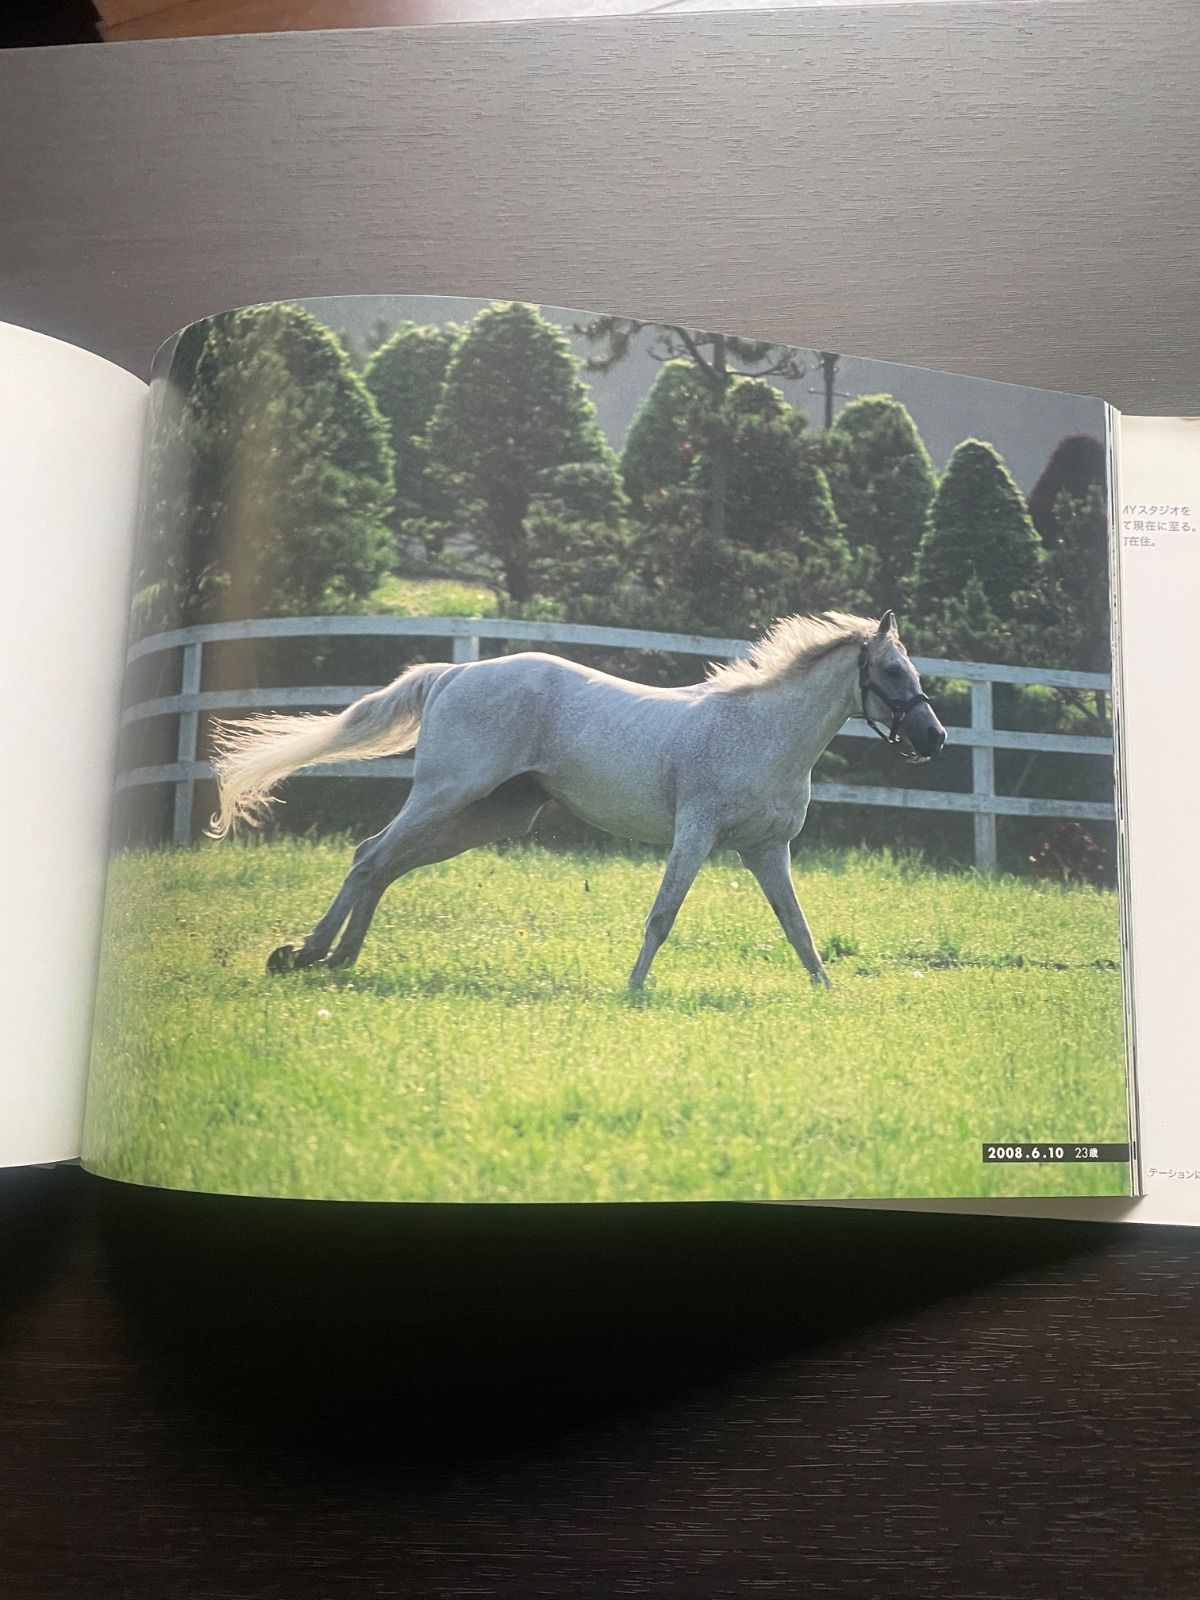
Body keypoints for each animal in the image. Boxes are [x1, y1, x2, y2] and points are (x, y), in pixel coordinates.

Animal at [209, 609, 946, 988]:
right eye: (889, 670)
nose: (934, 737)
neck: (761, 732)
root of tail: (453, 672)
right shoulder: (696, 834)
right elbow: (662, 916)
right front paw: (634, 992)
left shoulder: (766, 851)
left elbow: (797, 928)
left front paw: (827, 994)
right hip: (447, 794)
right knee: (369, 856)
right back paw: (303, 955)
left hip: (485, 817)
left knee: (384, 864)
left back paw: (337, 959)